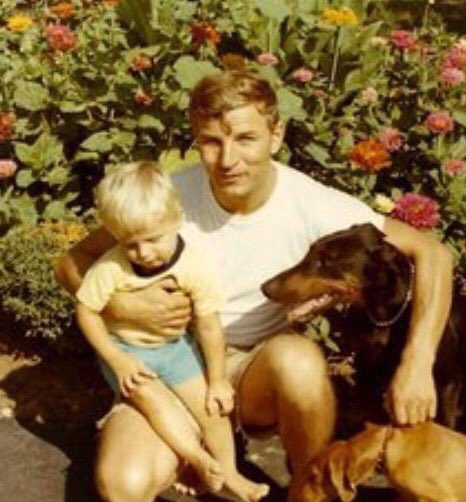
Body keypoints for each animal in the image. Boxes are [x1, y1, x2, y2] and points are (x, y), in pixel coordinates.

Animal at [261, 223, 466, 430]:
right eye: (309, 252)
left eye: (324, 262)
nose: (265, 288)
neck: (384, 319)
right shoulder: (367, 380)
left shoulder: (448, 384)